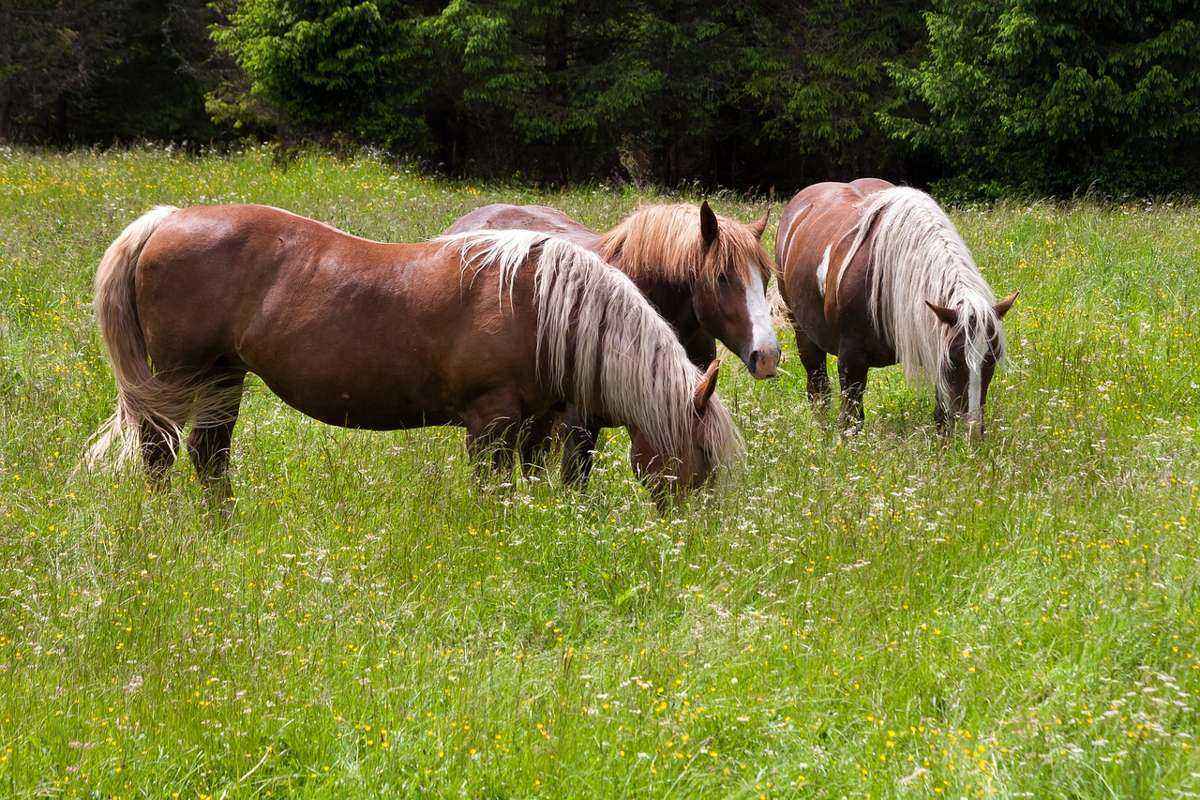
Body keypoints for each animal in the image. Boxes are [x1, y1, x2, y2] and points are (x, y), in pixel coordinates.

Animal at [84, 206, 739, 506]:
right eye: (703, 457)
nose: (692, 539)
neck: (542, 305)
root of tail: (168, 220)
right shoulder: (492, 423)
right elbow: (492, 492)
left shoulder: (534, 425)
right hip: (180, 377)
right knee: (160, 451)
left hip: (223, 378)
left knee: (208, 455)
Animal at [772, 181, 1017, 438]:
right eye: (955, 359)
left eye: (992, 359)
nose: (971, 431)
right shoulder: (851, 360)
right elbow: (850, 421)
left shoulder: (935, 348)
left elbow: (941, 418)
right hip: (804, 335)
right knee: (818, 389)